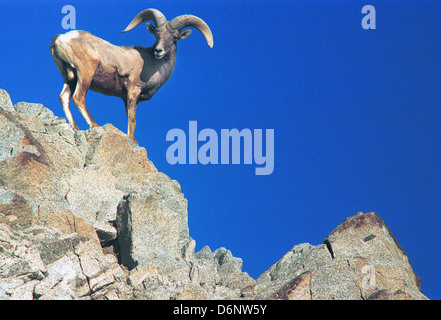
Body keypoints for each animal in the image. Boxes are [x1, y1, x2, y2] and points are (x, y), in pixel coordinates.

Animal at [49, 8, 211, 143]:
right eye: (157, 34)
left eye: (174, 37)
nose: (158, 51)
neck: (153, 64)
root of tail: (60, 38)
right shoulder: (133, 90)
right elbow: (132, 119)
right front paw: (133, 140)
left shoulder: (125, 97)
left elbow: (128, 116)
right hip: (86, 74)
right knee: (78, 98)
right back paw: (95, 125)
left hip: (70, 78)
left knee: (64, 97)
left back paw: (75, 127)